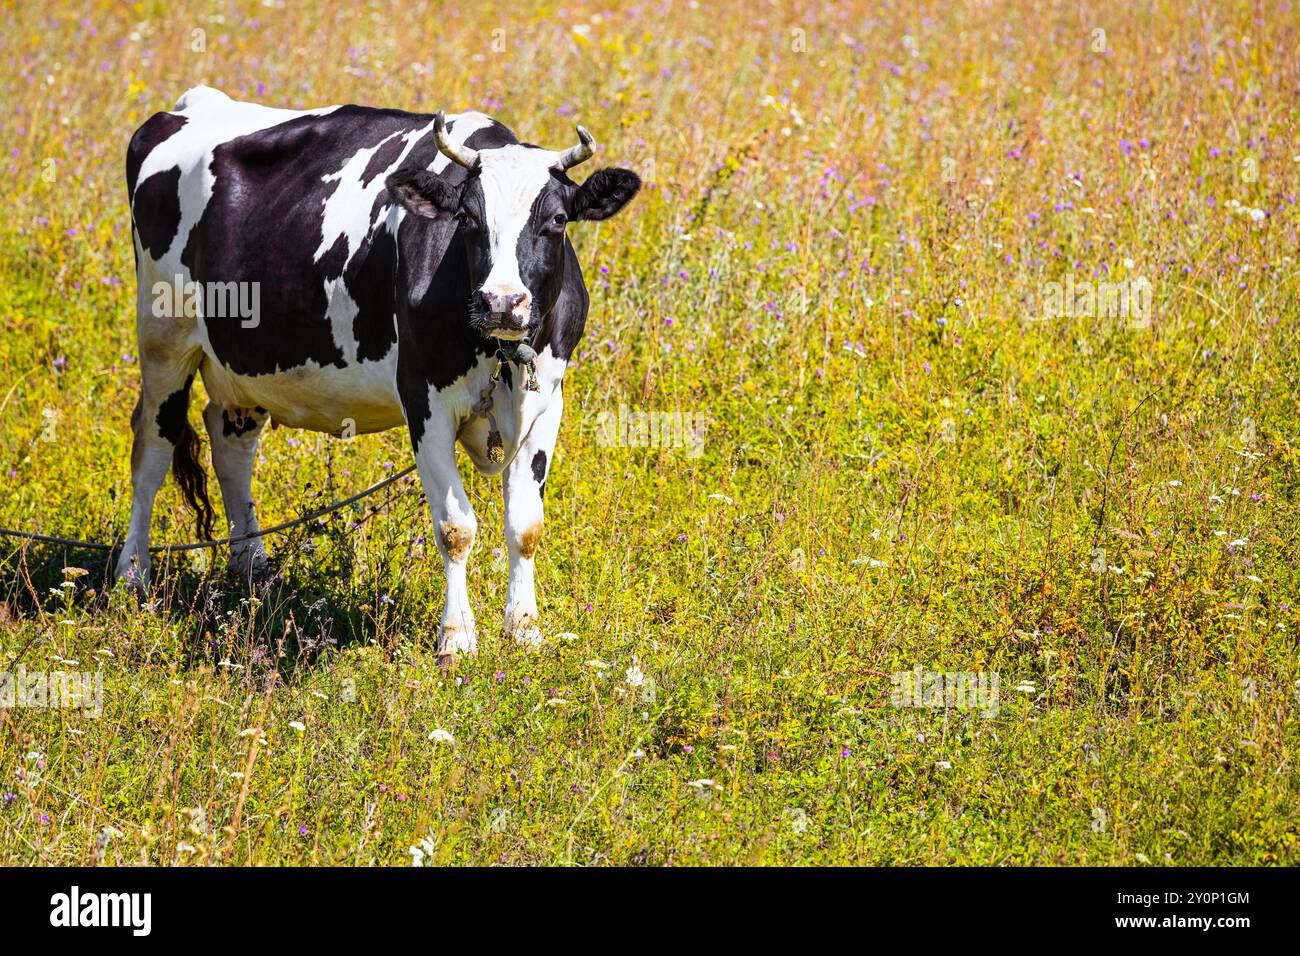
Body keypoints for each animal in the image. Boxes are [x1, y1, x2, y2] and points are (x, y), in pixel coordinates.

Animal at [119, 85, 637, 658]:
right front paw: (457, 638)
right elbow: (455, 527)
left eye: (558, 221)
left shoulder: (547, 401)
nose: (502, 302)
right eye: (467, 219)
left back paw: (254, 570)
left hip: (244, 361)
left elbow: (526, 525)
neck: (498, 353)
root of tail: (192, 105)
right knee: (152, 447)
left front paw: (523, 629)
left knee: (231, 445)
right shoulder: (424, 400)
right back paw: (132, 576)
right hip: (163, 337)